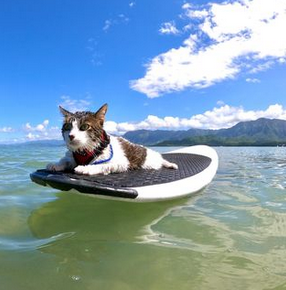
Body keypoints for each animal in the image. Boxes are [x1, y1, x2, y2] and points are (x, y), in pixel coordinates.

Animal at [45, 104, 178, 177]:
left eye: (84, 127)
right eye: (68, 127)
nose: (71, 136)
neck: (84, 151)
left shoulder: (122, 163)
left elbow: (103, 165)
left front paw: (85, 168)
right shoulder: (72, 155)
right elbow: (65, 159)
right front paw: (56, 164)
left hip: (152, 161)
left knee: (162, 161)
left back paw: (170, 164)